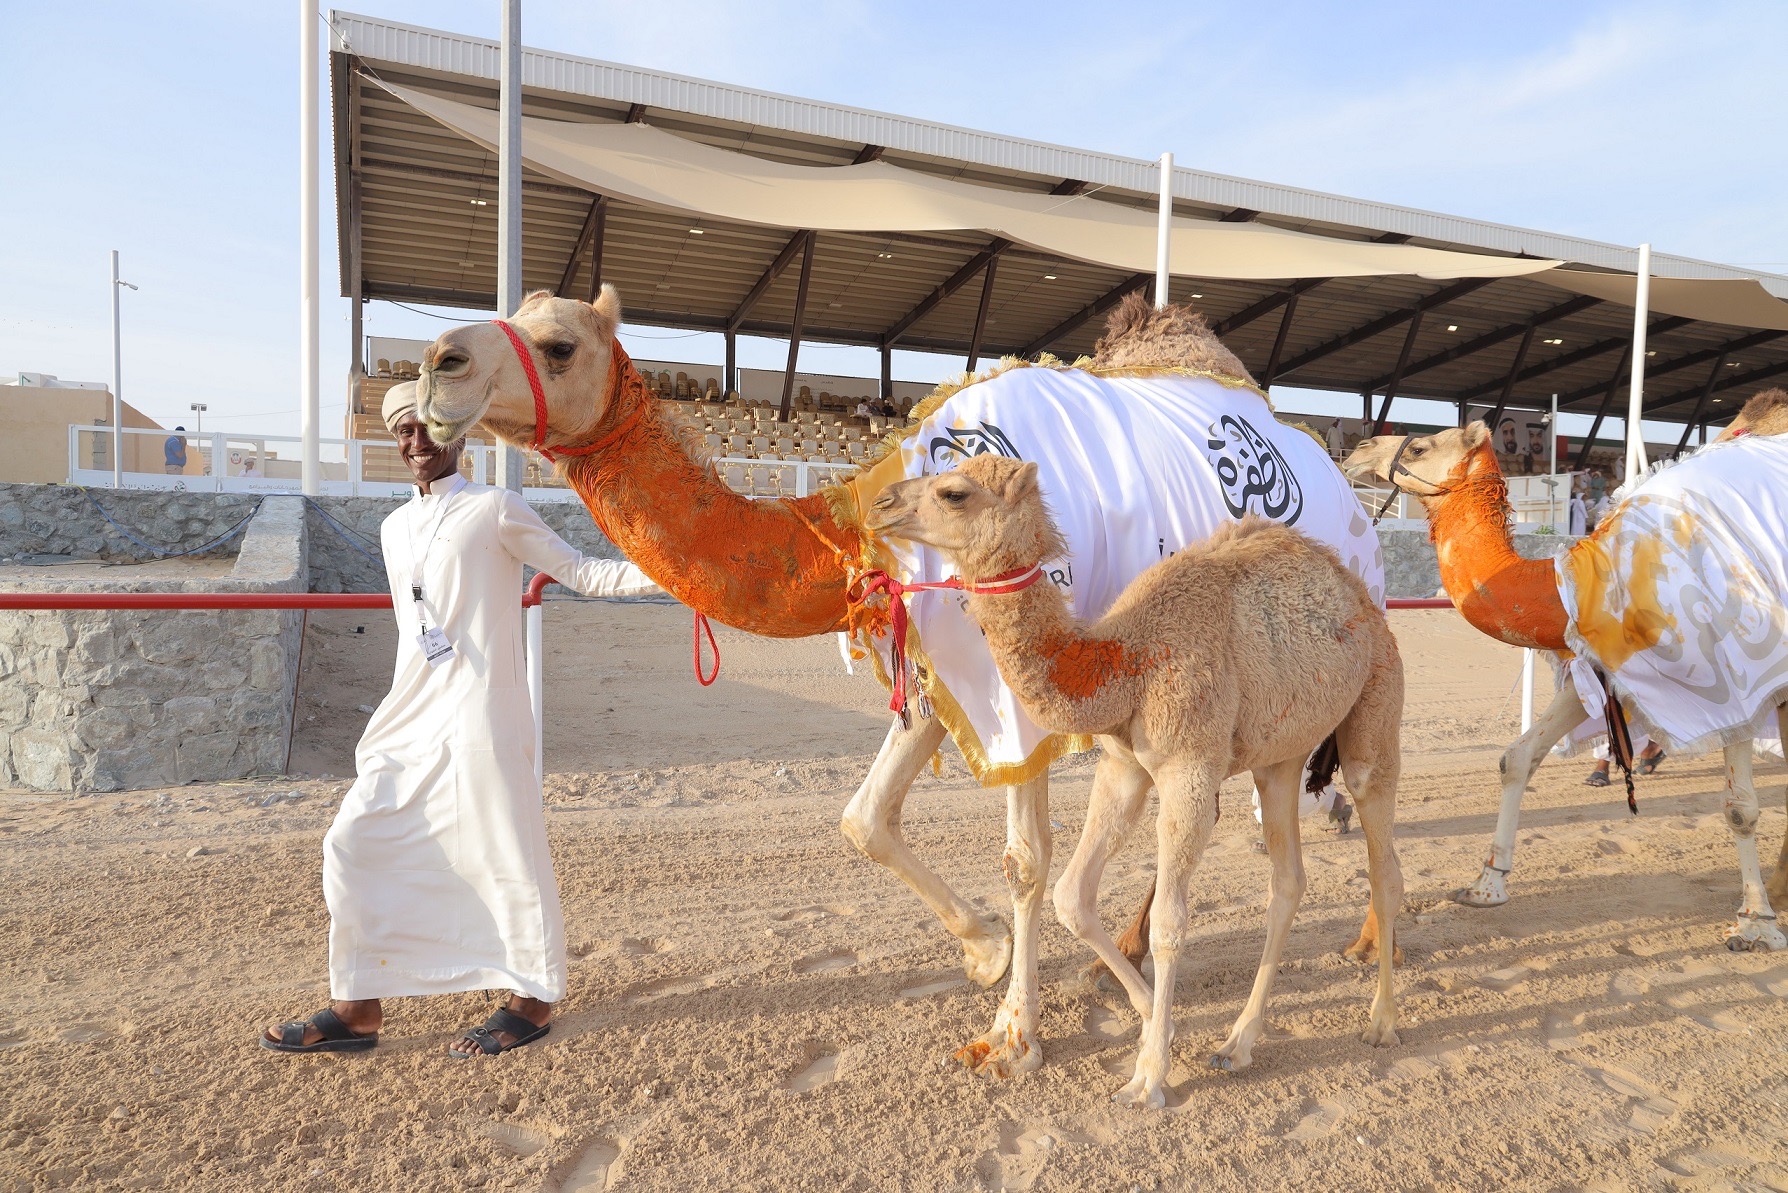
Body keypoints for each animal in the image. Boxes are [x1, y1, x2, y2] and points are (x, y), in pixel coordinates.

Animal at [868, 457, 1408, 1108]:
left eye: (954, 492)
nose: (880, 503)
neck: (1123, 662)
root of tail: (1365, 599)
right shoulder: (1123, 766)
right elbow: (1071, 895)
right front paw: (1153, 1018)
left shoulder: (1189, 769)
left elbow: (1171, 925)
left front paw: (1149, 1074)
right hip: (1279, 757)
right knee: (1288, 882)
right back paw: (1238, 1043)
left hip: (1376, 706)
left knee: (1382, 862)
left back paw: (1382, 1021)